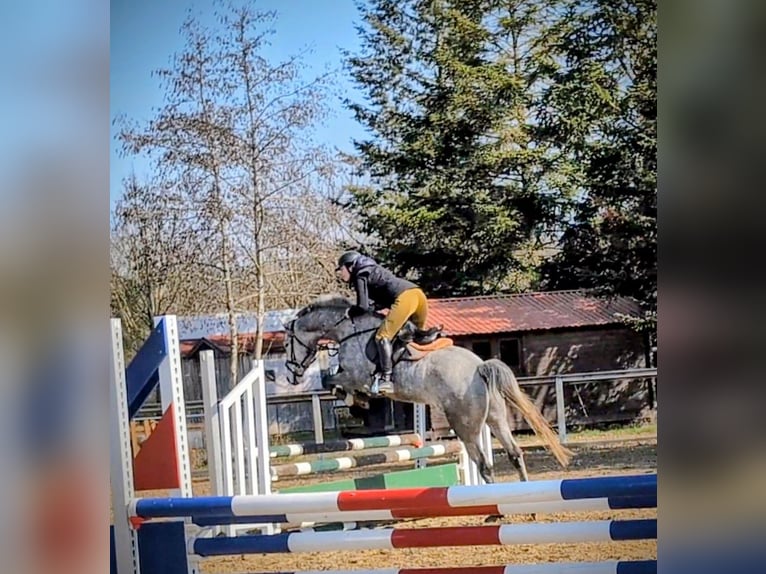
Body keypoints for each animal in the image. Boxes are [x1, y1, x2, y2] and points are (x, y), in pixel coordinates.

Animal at [283, 294, 572, 484]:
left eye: (287, 344)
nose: (291, 372)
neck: (347, 331)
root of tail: (480, 366)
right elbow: (331, 380)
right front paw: (356, 401)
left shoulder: (355, 376)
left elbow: (331, 382)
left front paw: (356, 400)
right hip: (496, 417)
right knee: (514, 453)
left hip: (465, 425)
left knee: (483, 464)